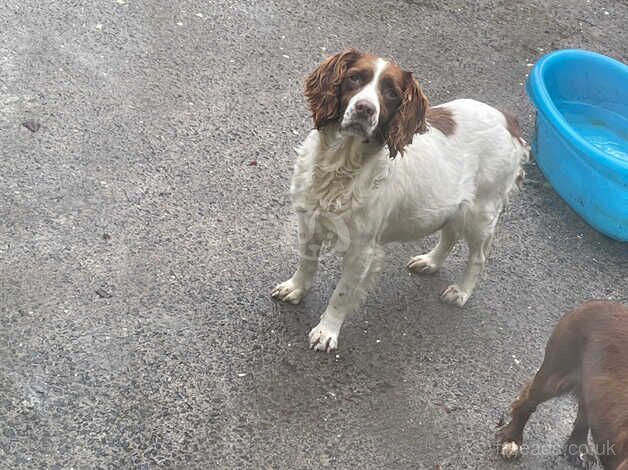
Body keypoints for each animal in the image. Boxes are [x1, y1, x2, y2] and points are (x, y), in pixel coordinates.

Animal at [272, 50, 528, 352]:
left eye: (391, 93)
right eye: (354, 78)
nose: (365, 109)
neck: (341, 166)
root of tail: (508, 119)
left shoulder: (362, 250)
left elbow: (341, 294)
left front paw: (327, 331)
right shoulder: (310, 221)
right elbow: (306, 262)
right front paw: (295, 288)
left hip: (480, 213)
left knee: (479, 257)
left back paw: (461, 291)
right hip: (452, 206)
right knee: (449, 235)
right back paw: (430, 262)